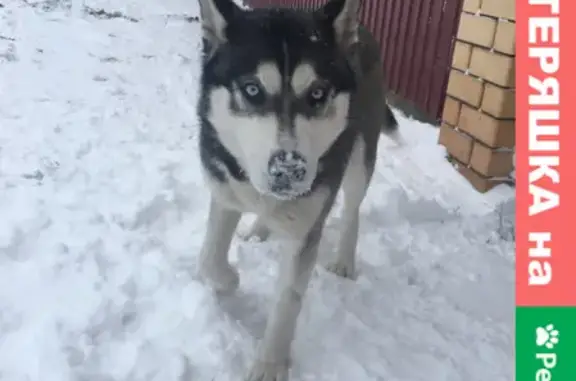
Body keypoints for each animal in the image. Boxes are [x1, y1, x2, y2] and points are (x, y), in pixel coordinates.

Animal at [196, 0, 398, 378]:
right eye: (252, 89)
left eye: (317, 93)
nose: (289, 170)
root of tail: (359, 32)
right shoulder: (224, 191)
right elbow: (208, 259)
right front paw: (229, 279)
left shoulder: (307, 225)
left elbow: (287, 300)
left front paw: (270, 365)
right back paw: (259, 228)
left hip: (360, 158)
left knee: (352, 209)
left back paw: (344, 260)